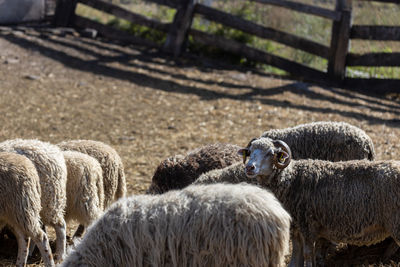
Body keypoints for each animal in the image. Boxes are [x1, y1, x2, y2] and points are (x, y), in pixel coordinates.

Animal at [241, 137, 400, 266]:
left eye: (270, 153)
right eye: (249, 152)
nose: (249, 167)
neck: (291, 180)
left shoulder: (308, 226)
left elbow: (308, 255)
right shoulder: (296, 227)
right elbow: (297, 257)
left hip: (395, 223)